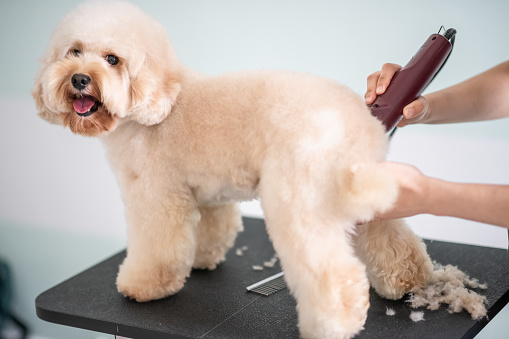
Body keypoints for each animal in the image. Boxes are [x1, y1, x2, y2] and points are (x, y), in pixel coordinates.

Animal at [33, 1, 432, 338]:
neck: (160, 100)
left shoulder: (155, 196)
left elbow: (157, 249)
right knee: (392, 238)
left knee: (336, 274)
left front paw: (143, 286)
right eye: (74, 51)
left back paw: (332, 325)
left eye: (112, 59)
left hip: (300, 202)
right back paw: (407, 279)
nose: (79, 78)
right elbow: (211, 230)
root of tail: (359, 122)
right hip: (362, 192)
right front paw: (201, 261)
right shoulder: (206, 192)